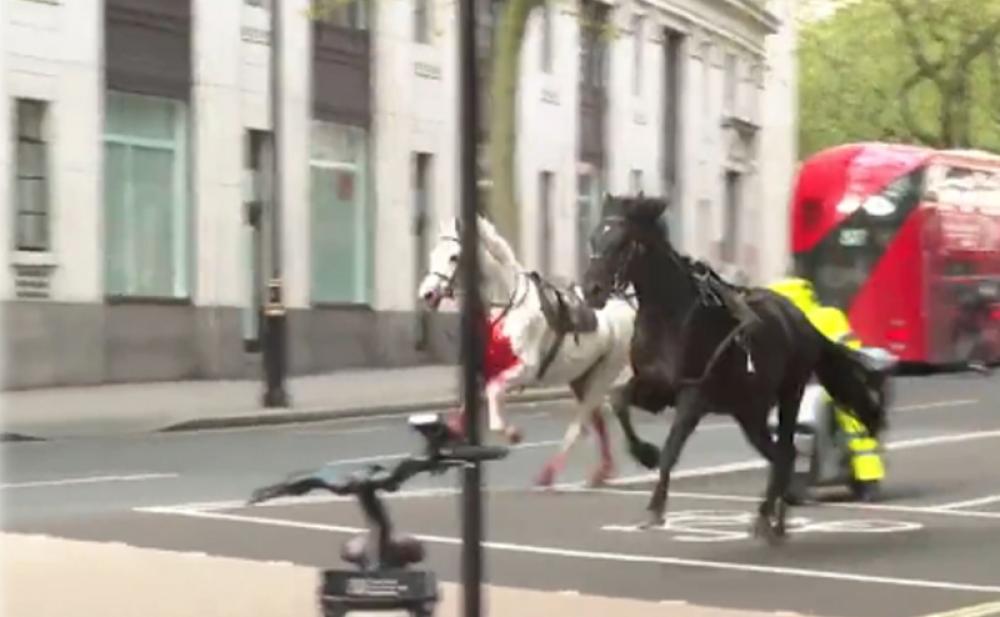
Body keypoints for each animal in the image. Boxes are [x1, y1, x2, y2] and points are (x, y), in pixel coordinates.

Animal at [418, 215, 636, 486]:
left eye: (454, 257)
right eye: (433, 252)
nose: (426, 294)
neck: (506, 306)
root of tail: (626, 304)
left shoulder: (525, 370)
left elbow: (494, 396)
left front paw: (513, 434)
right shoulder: (481, 372)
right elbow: (465, 411)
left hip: (604, 374)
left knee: (580, 423)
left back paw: (549, 474)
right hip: (581, 376)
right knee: (596, 421)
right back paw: (602, 470)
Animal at [584, 195, 888, 540]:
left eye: (622, 243)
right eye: (594, 237)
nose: (591, 289)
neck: (672, 317)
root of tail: (802, 322)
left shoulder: (693, 396)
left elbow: (672, 449)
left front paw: (655, 507)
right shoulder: (654, 388)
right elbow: (618, 399)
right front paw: (644, 453)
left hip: (789, 394)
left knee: (786, 451)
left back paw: (769, 516)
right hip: (749, 412)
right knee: (780, 455)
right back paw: (776, 516)